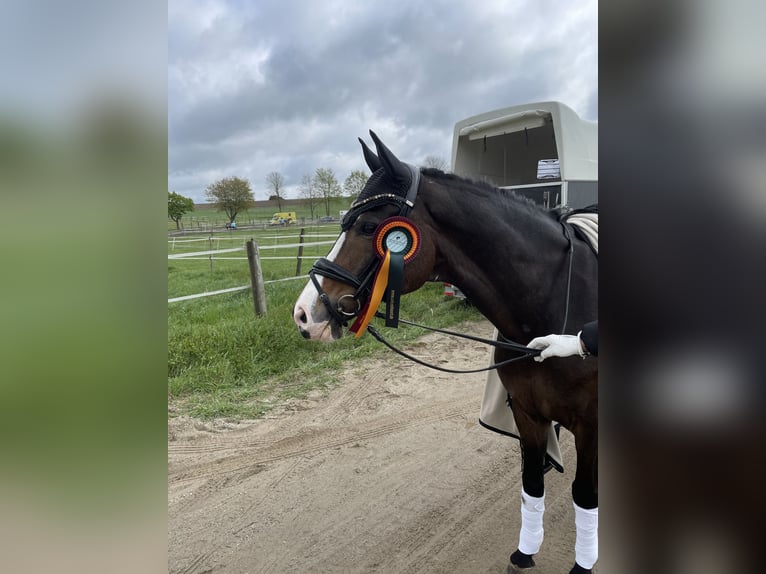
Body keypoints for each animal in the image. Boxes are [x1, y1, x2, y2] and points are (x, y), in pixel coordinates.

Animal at [294, 132, 600, 574]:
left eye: (370, 227)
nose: (304, 315)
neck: (555, 299)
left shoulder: (591, 424)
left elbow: (585, 494)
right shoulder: (528, 413)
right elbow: (532, 482)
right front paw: (524, 554)